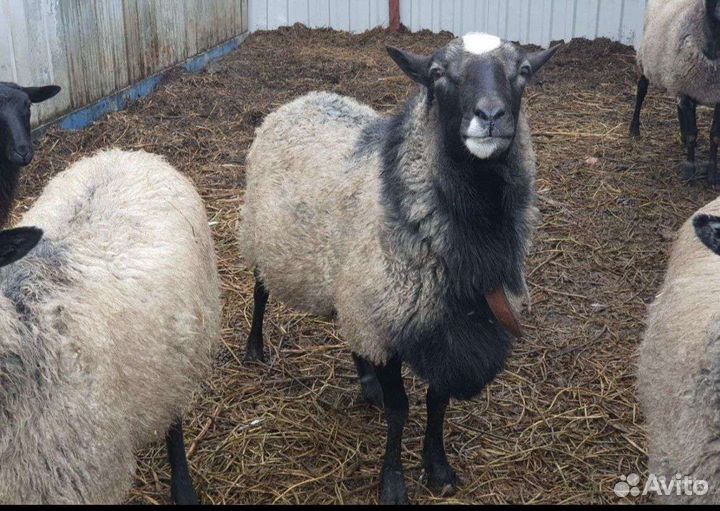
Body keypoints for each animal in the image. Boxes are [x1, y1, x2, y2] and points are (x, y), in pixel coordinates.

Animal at [239, 33, 559, 504]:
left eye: (523, 71)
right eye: (437, 73)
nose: (490, 116)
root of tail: (302, 99)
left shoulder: (443, 328)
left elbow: (436, 403)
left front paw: (438, 467)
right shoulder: (387, 319)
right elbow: (400, 411)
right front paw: (392, 482)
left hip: (352, 283)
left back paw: (366, 381)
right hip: (263, 238)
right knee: (260, 289)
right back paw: (255, 348)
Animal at [630, 0, 720, 185]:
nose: (711, 52)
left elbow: (715, 136)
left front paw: (713, 175)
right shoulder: (686, 89)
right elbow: (693, 134)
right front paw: (690, 172)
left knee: (679, 106)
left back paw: (682, 137)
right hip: (647, 60)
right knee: (641, 90)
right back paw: (634, 129)